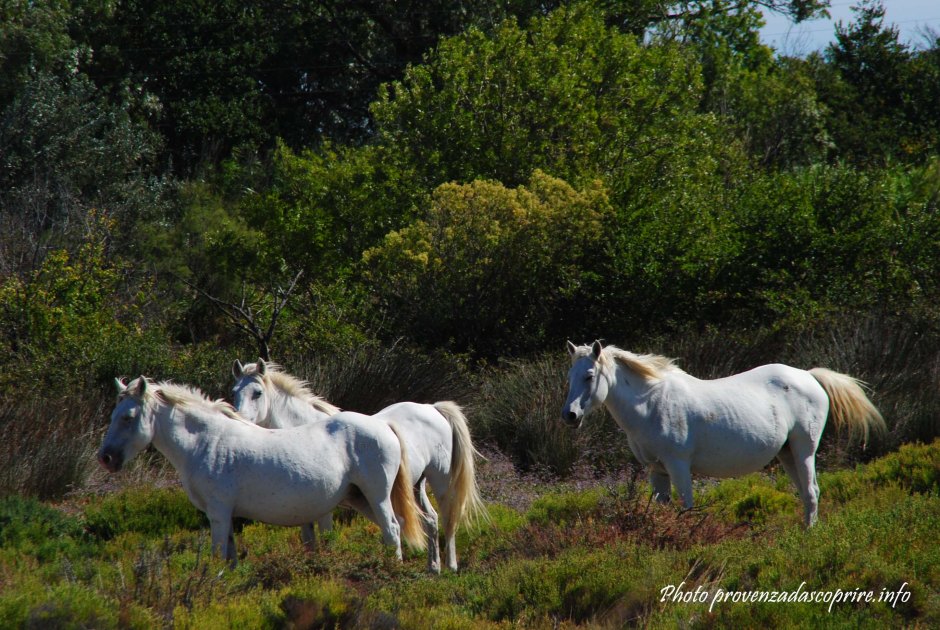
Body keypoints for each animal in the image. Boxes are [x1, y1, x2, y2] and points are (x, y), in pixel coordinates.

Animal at [97, 376, 426, 565]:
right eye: (113, 414)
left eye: (128, 417)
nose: (106, 458)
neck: (206, 442)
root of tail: (384, 425)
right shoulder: (227, 516)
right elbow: (229, 559)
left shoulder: (218, 513)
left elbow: (217, 556)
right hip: (359, 498)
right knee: (395, 526)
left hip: (376, 496)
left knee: (392, 528)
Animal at [231, 359, 487, 573]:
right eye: (234, 393)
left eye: (257, 393)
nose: (239, 420)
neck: (307, 431)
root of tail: (432, 407)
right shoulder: (304, 509)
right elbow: (310, 542)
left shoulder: (324, 509)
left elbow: (327, 539)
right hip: (415, 487)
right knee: (430, 520)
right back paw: (433, 567)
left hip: (439, 481)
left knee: (447, 518)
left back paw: (451, 566)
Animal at [562, 341, 886, 527]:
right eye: (569, 376)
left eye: (589, 376)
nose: (570, 415)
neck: (651, 402)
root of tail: (808, 375)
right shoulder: (657, 471)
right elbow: (662, 509)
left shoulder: (679, 466)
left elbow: (686, 507)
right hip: (787, 455)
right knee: (807, 495)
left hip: (804, 450)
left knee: (811, 491)